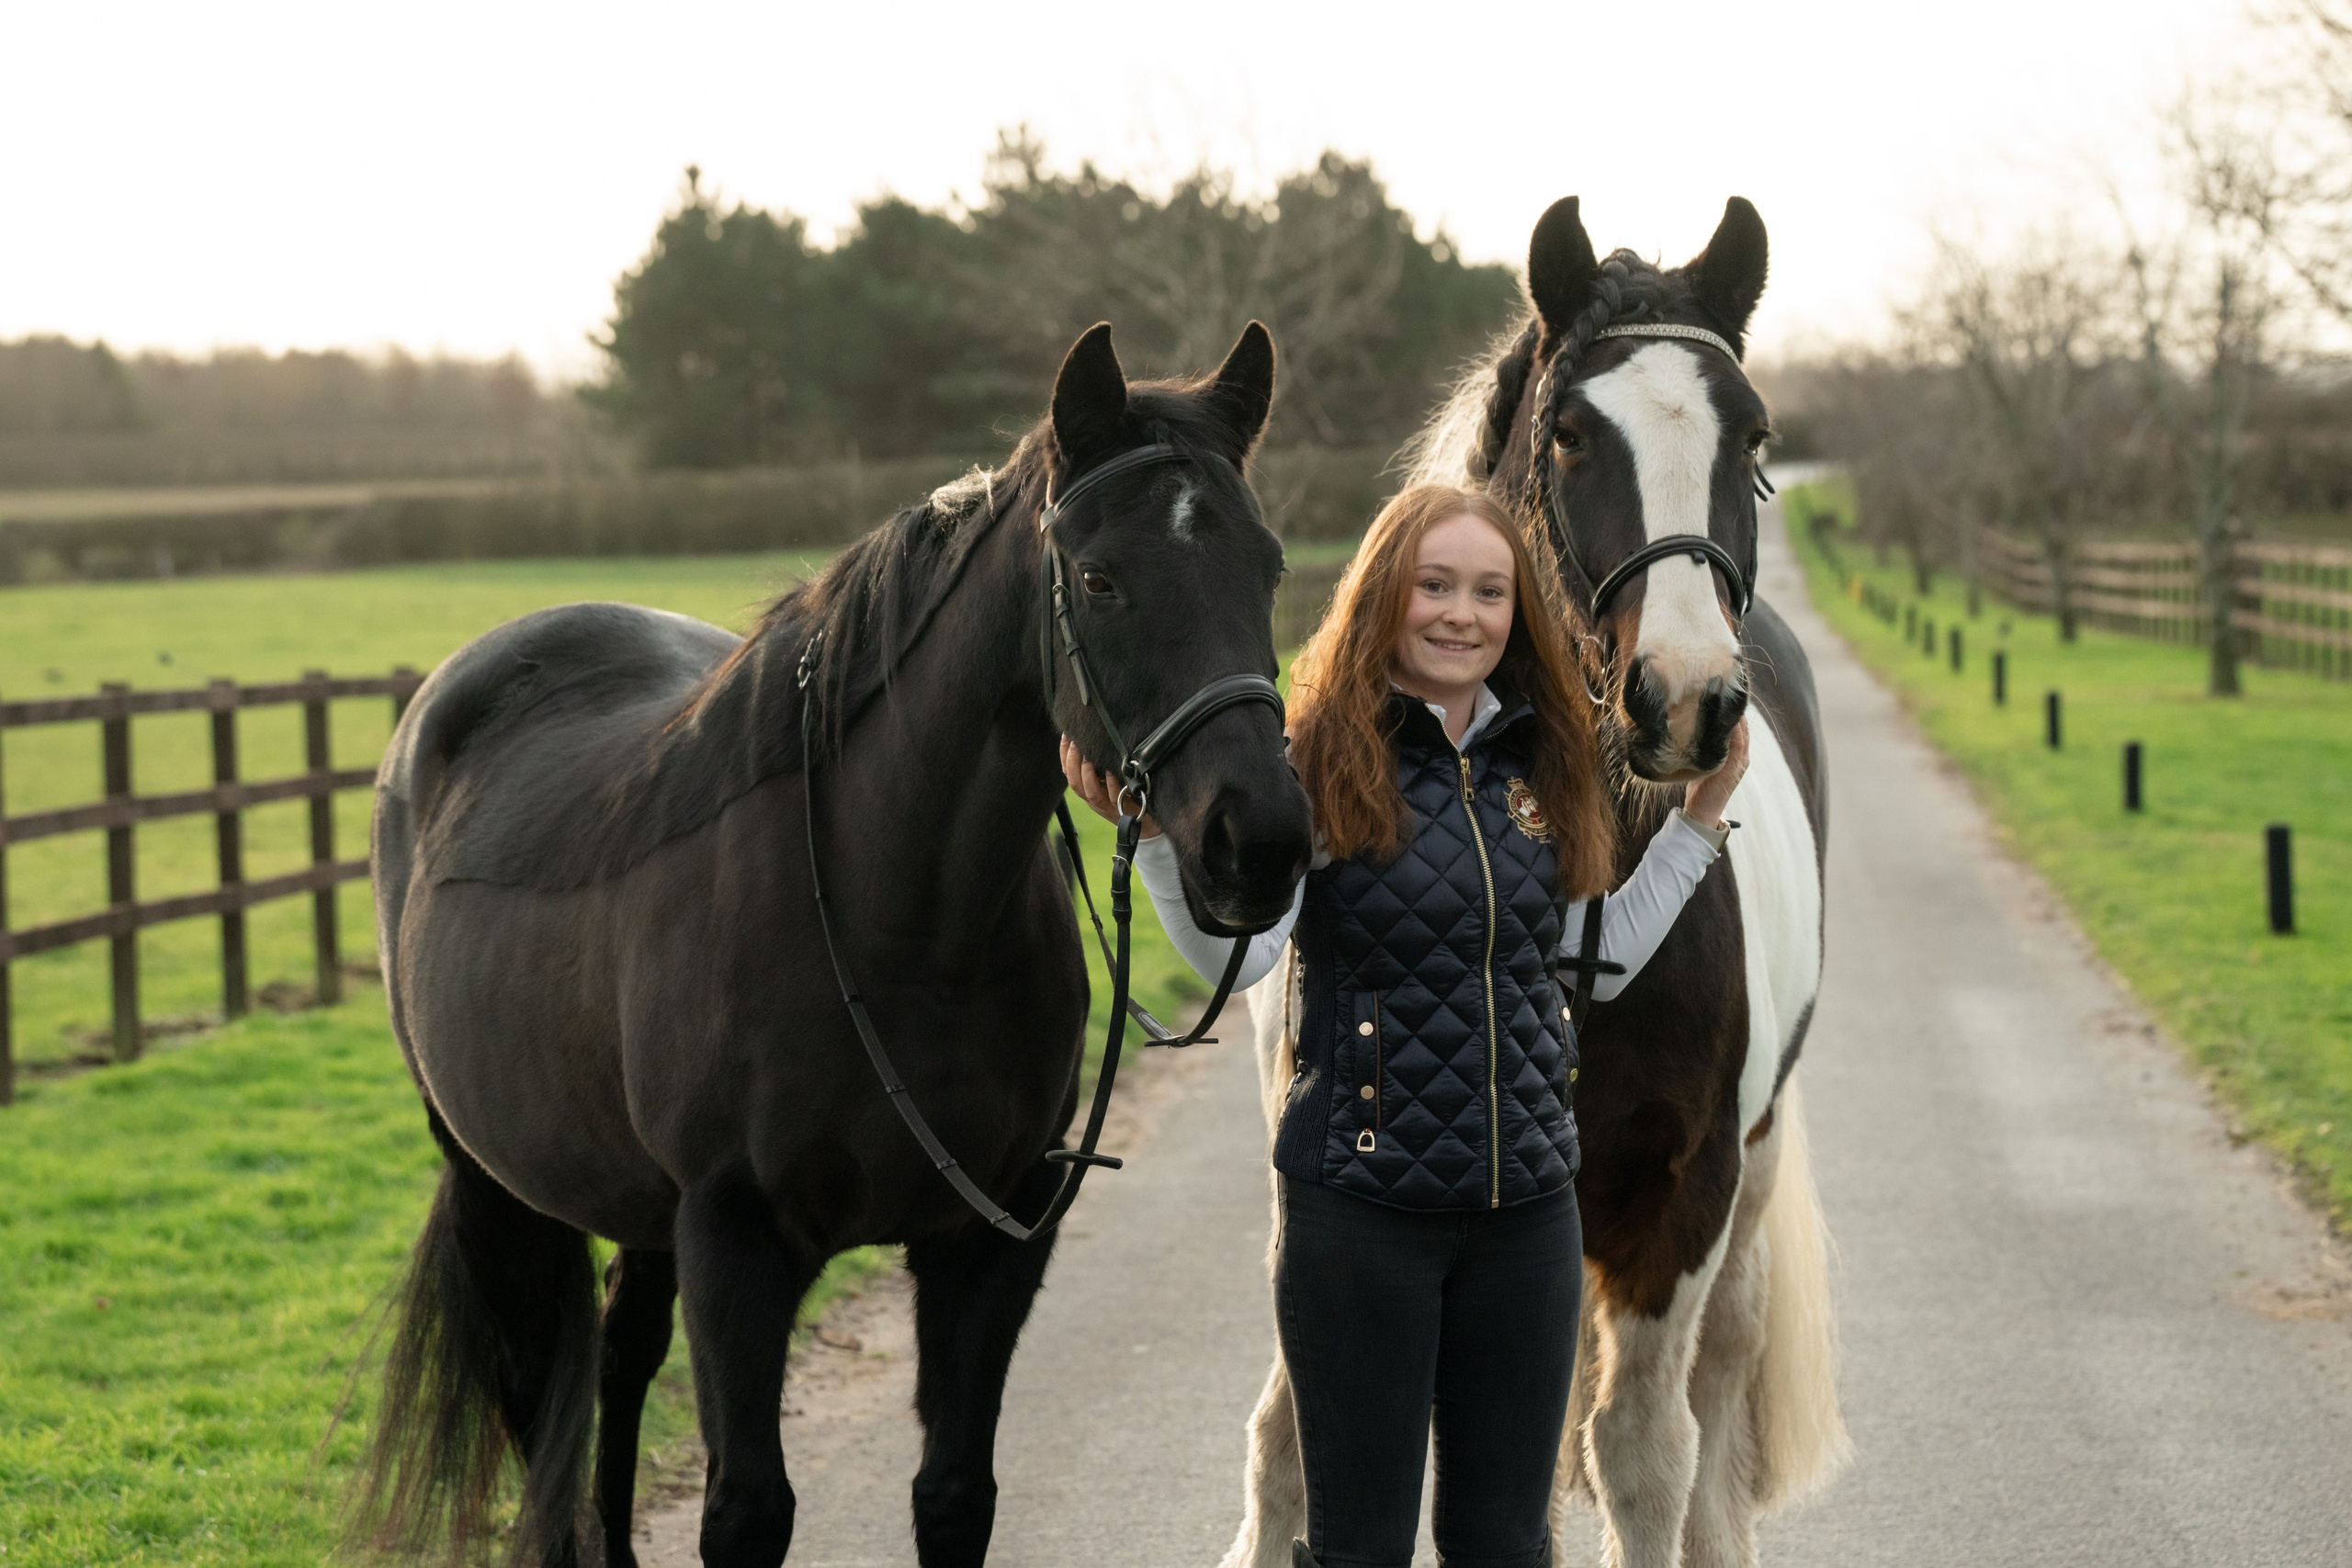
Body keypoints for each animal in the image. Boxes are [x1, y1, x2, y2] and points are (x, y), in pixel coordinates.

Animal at [359, 320, 1315, 1568]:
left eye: (1269, 567)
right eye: (1101, 579)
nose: (1258, 840)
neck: (902, 926)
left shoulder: (988, 1243)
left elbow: (954, 1494)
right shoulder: (737, 1242)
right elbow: (746, 1512)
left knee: (619, 1355)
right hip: (495, 1185)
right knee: (543, 1401)